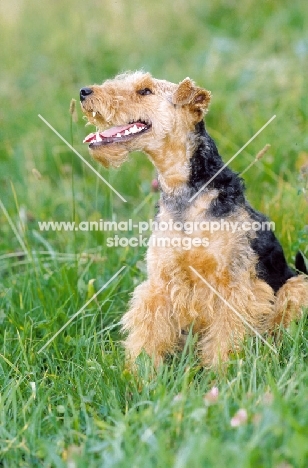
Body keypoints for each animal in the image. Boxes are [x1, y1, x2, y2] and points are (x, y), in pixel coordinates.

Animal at [80, 71, 308, 368]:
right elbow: (149, 332)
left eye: (145, 90)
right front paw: (139, 372)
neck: (184, 195)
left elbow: (225, 335)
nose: (84, 91)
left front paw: (221, 371)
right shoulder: (160, 283)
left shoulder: (233, 286)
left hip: (296, 286)